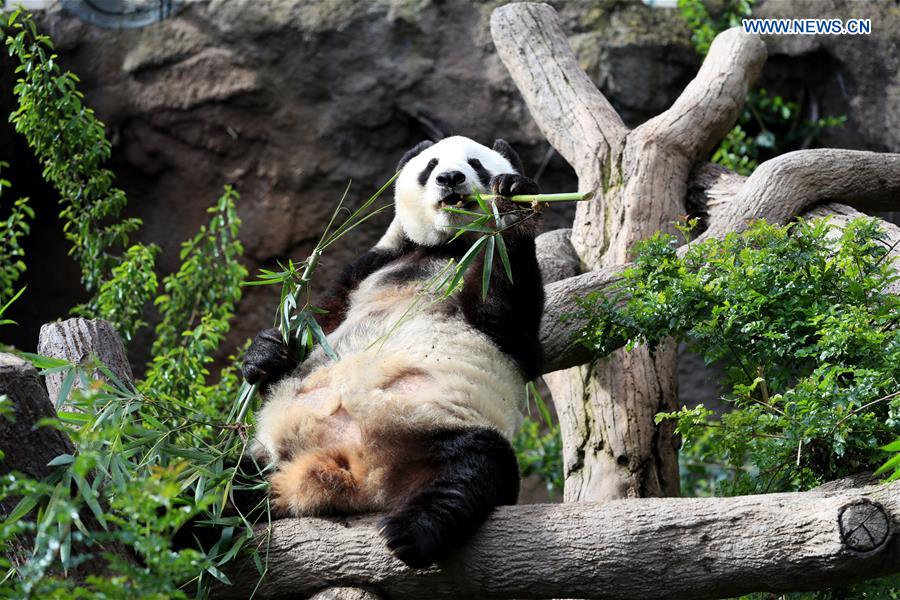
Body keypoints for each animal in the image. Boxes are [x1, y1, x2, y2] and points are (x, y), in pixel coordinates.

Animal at [243, 136, 544, 568]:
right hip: (266, 458)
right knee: (211, 481)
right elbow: (323, 324)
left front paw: (514, 204)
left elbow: (509, 321)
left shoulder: (502, 310)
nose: (450, 178)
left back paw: (413, 532)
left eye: (476, 164)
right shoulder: (372, 264)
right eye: (430, 165)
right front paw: (266, 353)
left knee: (475, 467)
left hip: (441, 426)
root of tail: (354, 470)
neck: (447, 245)